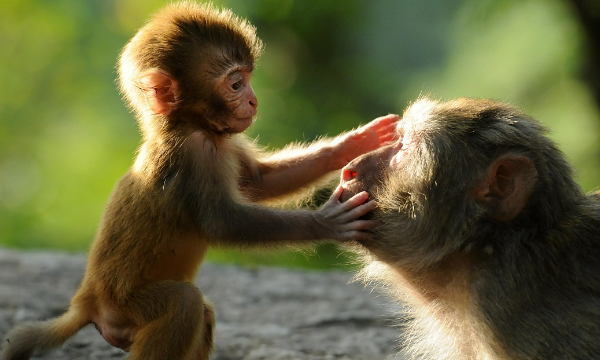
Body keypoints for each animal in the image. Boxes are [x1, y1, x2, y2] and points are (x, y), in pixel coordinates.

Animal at [4, 2, 400, 360]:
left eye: (248, 79)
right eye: (237, 83)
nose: (254, 101)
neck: (190, 125)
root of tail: (86, 302)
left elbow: (259, 182)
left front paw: (354, 143)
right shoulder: (193, 155)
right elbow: (221, 222)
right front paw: (327, 222)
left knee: (201, 314)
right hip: (125, 306)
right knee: (185, 303)